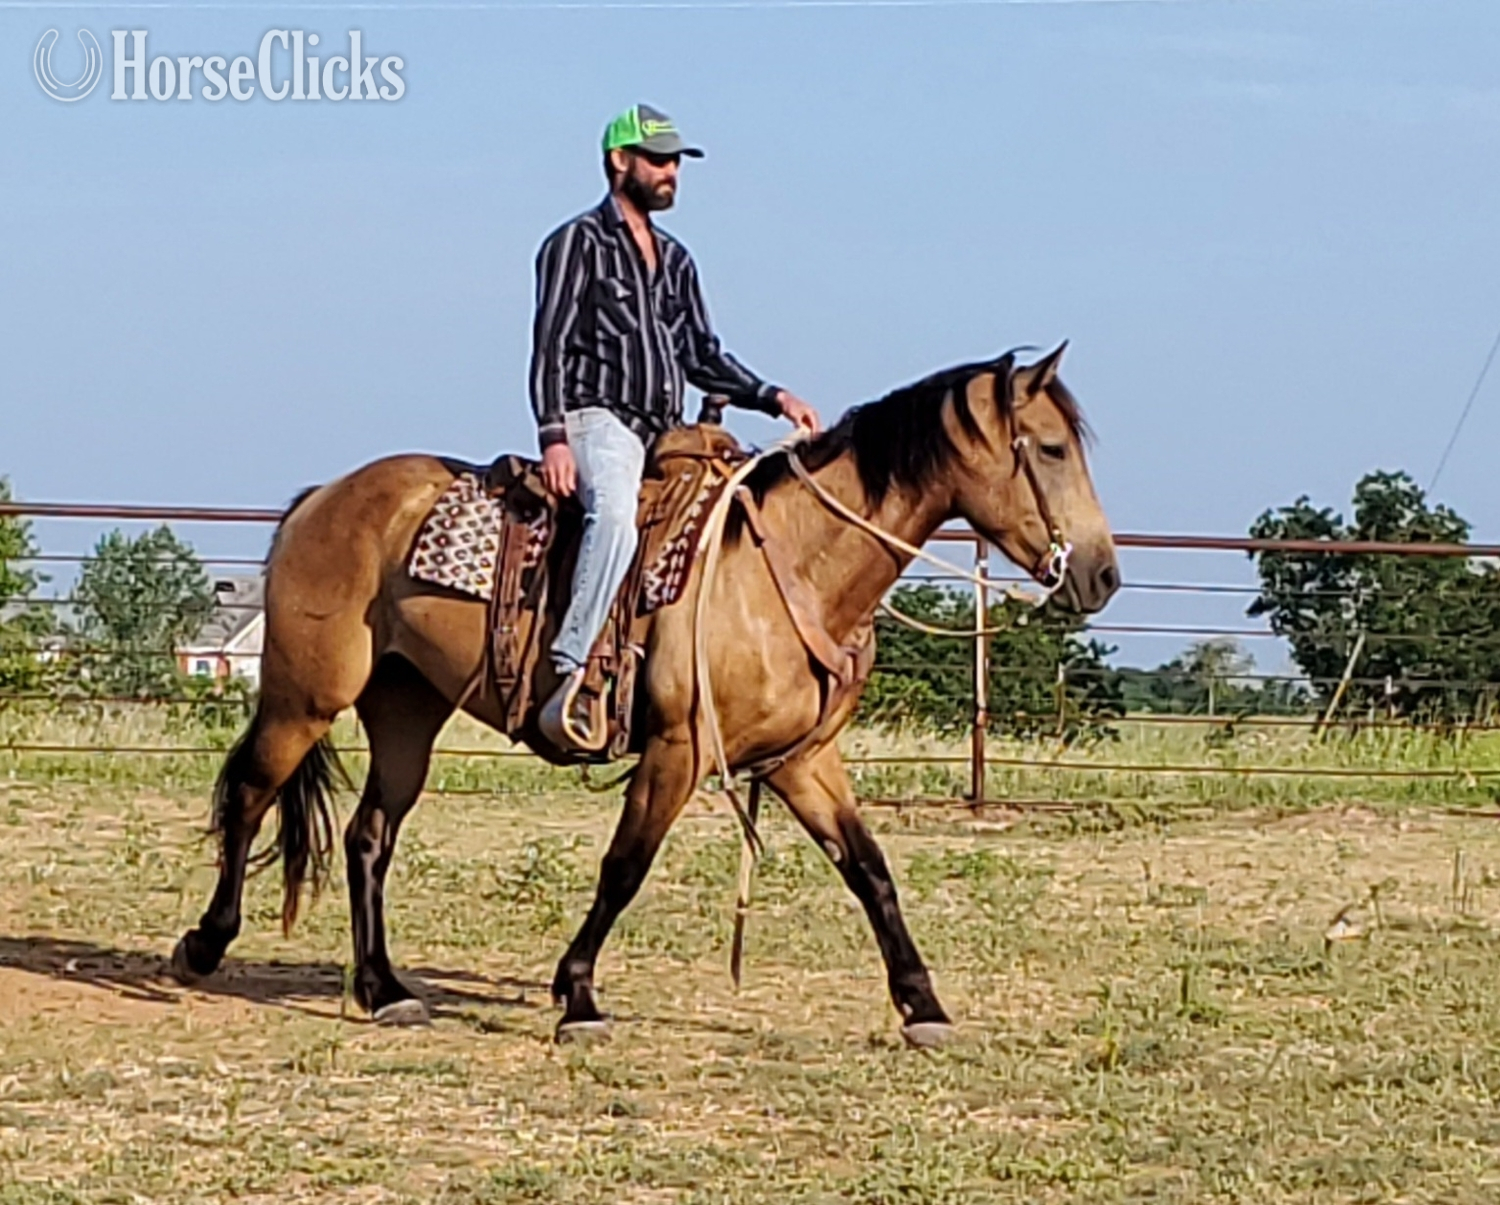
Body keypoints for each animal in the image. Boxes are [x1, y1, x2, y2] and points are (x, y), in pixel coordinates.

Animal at [169, 344, 1119, 1046]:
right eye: (1051, 447)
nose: (1103, 575)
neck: (789, 565)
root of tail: (321, 499)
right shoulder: (676, 748)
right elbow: (624, 867)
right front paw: (579, 995)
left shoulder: (805, 760)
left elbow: (870, 870)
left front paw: (924, 1005)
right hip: (305, 694)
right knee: (251, 793)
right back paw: (205, 945)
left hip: (407, 708)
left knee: (370, 836)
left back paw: (384, 987)